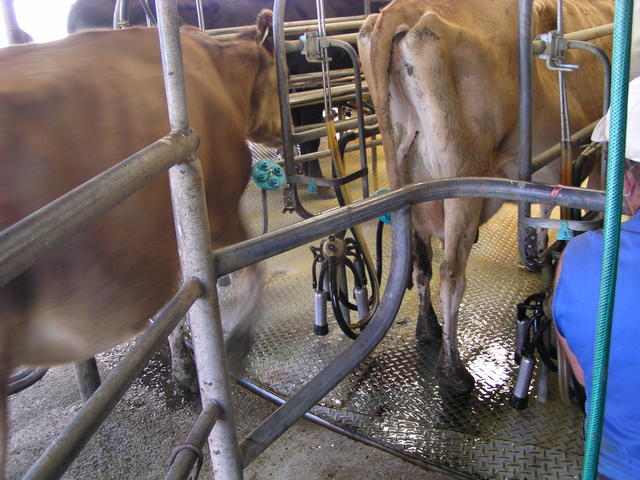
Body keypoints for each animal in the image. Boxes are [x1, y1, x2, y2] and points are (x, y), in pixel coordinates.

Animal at [0, 10, 279, 475]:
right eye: (278, 75)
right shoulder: (216, 210)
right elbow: (250, 271)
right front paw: (234, 343)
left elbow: (176, 307)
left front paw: (185, 373)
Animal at [358, 0, 612, 393]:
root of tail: (401, 11)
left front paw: (535, 253)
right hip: (463, 176)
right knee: (450, 274)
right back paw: (454, 373)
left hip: (410, 181)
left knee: (420, 263)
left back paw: (428, 329)